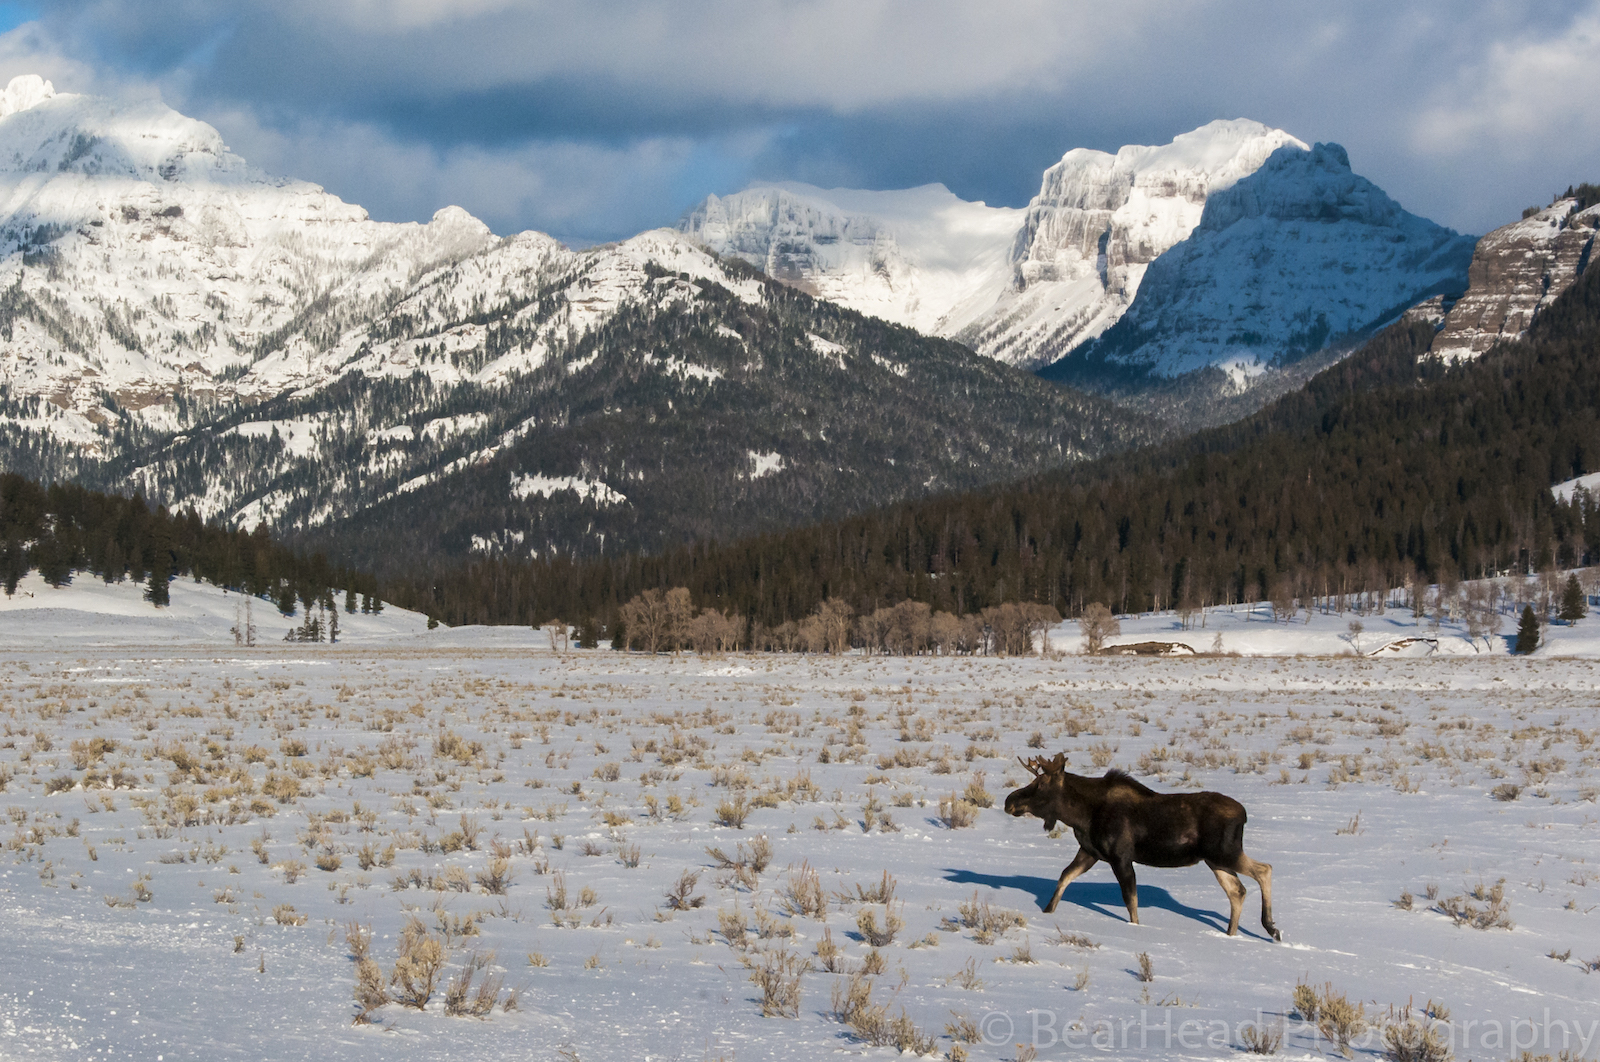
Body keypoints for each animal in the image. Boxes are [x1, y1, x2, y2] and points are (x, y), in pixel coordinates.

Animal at [1004, 751, 1280, 940]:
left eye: (1041, 784)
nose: (1009, 801)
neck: (1080, 815)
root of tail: (1244, 814)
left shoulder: (1120, 857)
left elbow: (1131, 901)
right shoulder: (1090, 852)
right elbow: (1064, 877)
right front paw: (1047, 913)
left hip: (1225, 852)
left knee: (1264, 869)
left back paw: (1271, 928)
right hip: (1215, 860)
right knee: (1237, 891)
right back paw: (1232, 934)